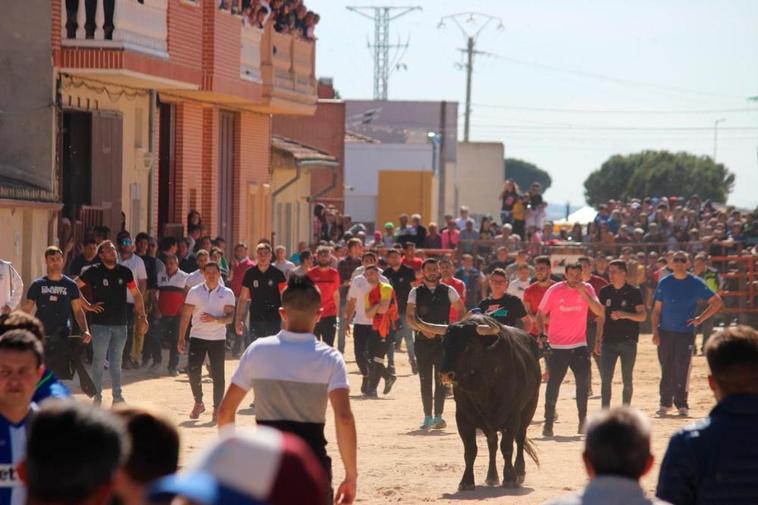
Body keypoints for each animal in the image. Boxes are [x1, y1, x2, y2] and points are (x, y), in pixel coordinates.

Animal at [416, 312, 540, 488]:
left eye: (469, 345)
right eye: (444, 344)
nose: (446, 374)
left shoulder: (512, 417)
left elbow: (507, 447)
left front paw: (510, 477)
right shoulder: (463, 418)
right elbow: (470, 450)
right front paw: (466, 481)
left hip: (529, 408)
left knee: (520, 438)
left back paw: (519, 472)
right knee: (492, 443)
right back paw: (491, 476)